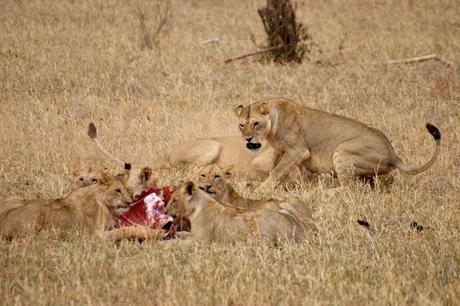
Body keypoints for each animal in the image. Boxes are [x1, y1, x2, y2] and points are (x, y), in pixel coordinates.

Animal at [0, 172, 132, 239]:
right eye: (118, 190)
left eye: (128, 189)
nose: (130, 201)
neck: (108, 207)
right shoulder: (96, 234)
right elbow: (123, 231)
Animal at [165, 182, 316, 244]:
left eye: (174, 200)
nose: (165, 211)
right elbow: (183, 234)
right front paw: (175, 234)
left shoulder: (201, 241)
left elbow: (180, 242)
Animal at [235, 98, 440, 189]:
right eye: (241, 125)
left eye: (255, 123)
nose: (247, 139)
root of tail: (393, 154)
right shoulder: (281, 151)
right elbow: (275, 168)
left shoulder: (298, 151)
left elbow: (277, 172)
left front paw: (262, 189)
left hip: (342, 150)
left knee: (351, 189)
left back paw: (325, 192)